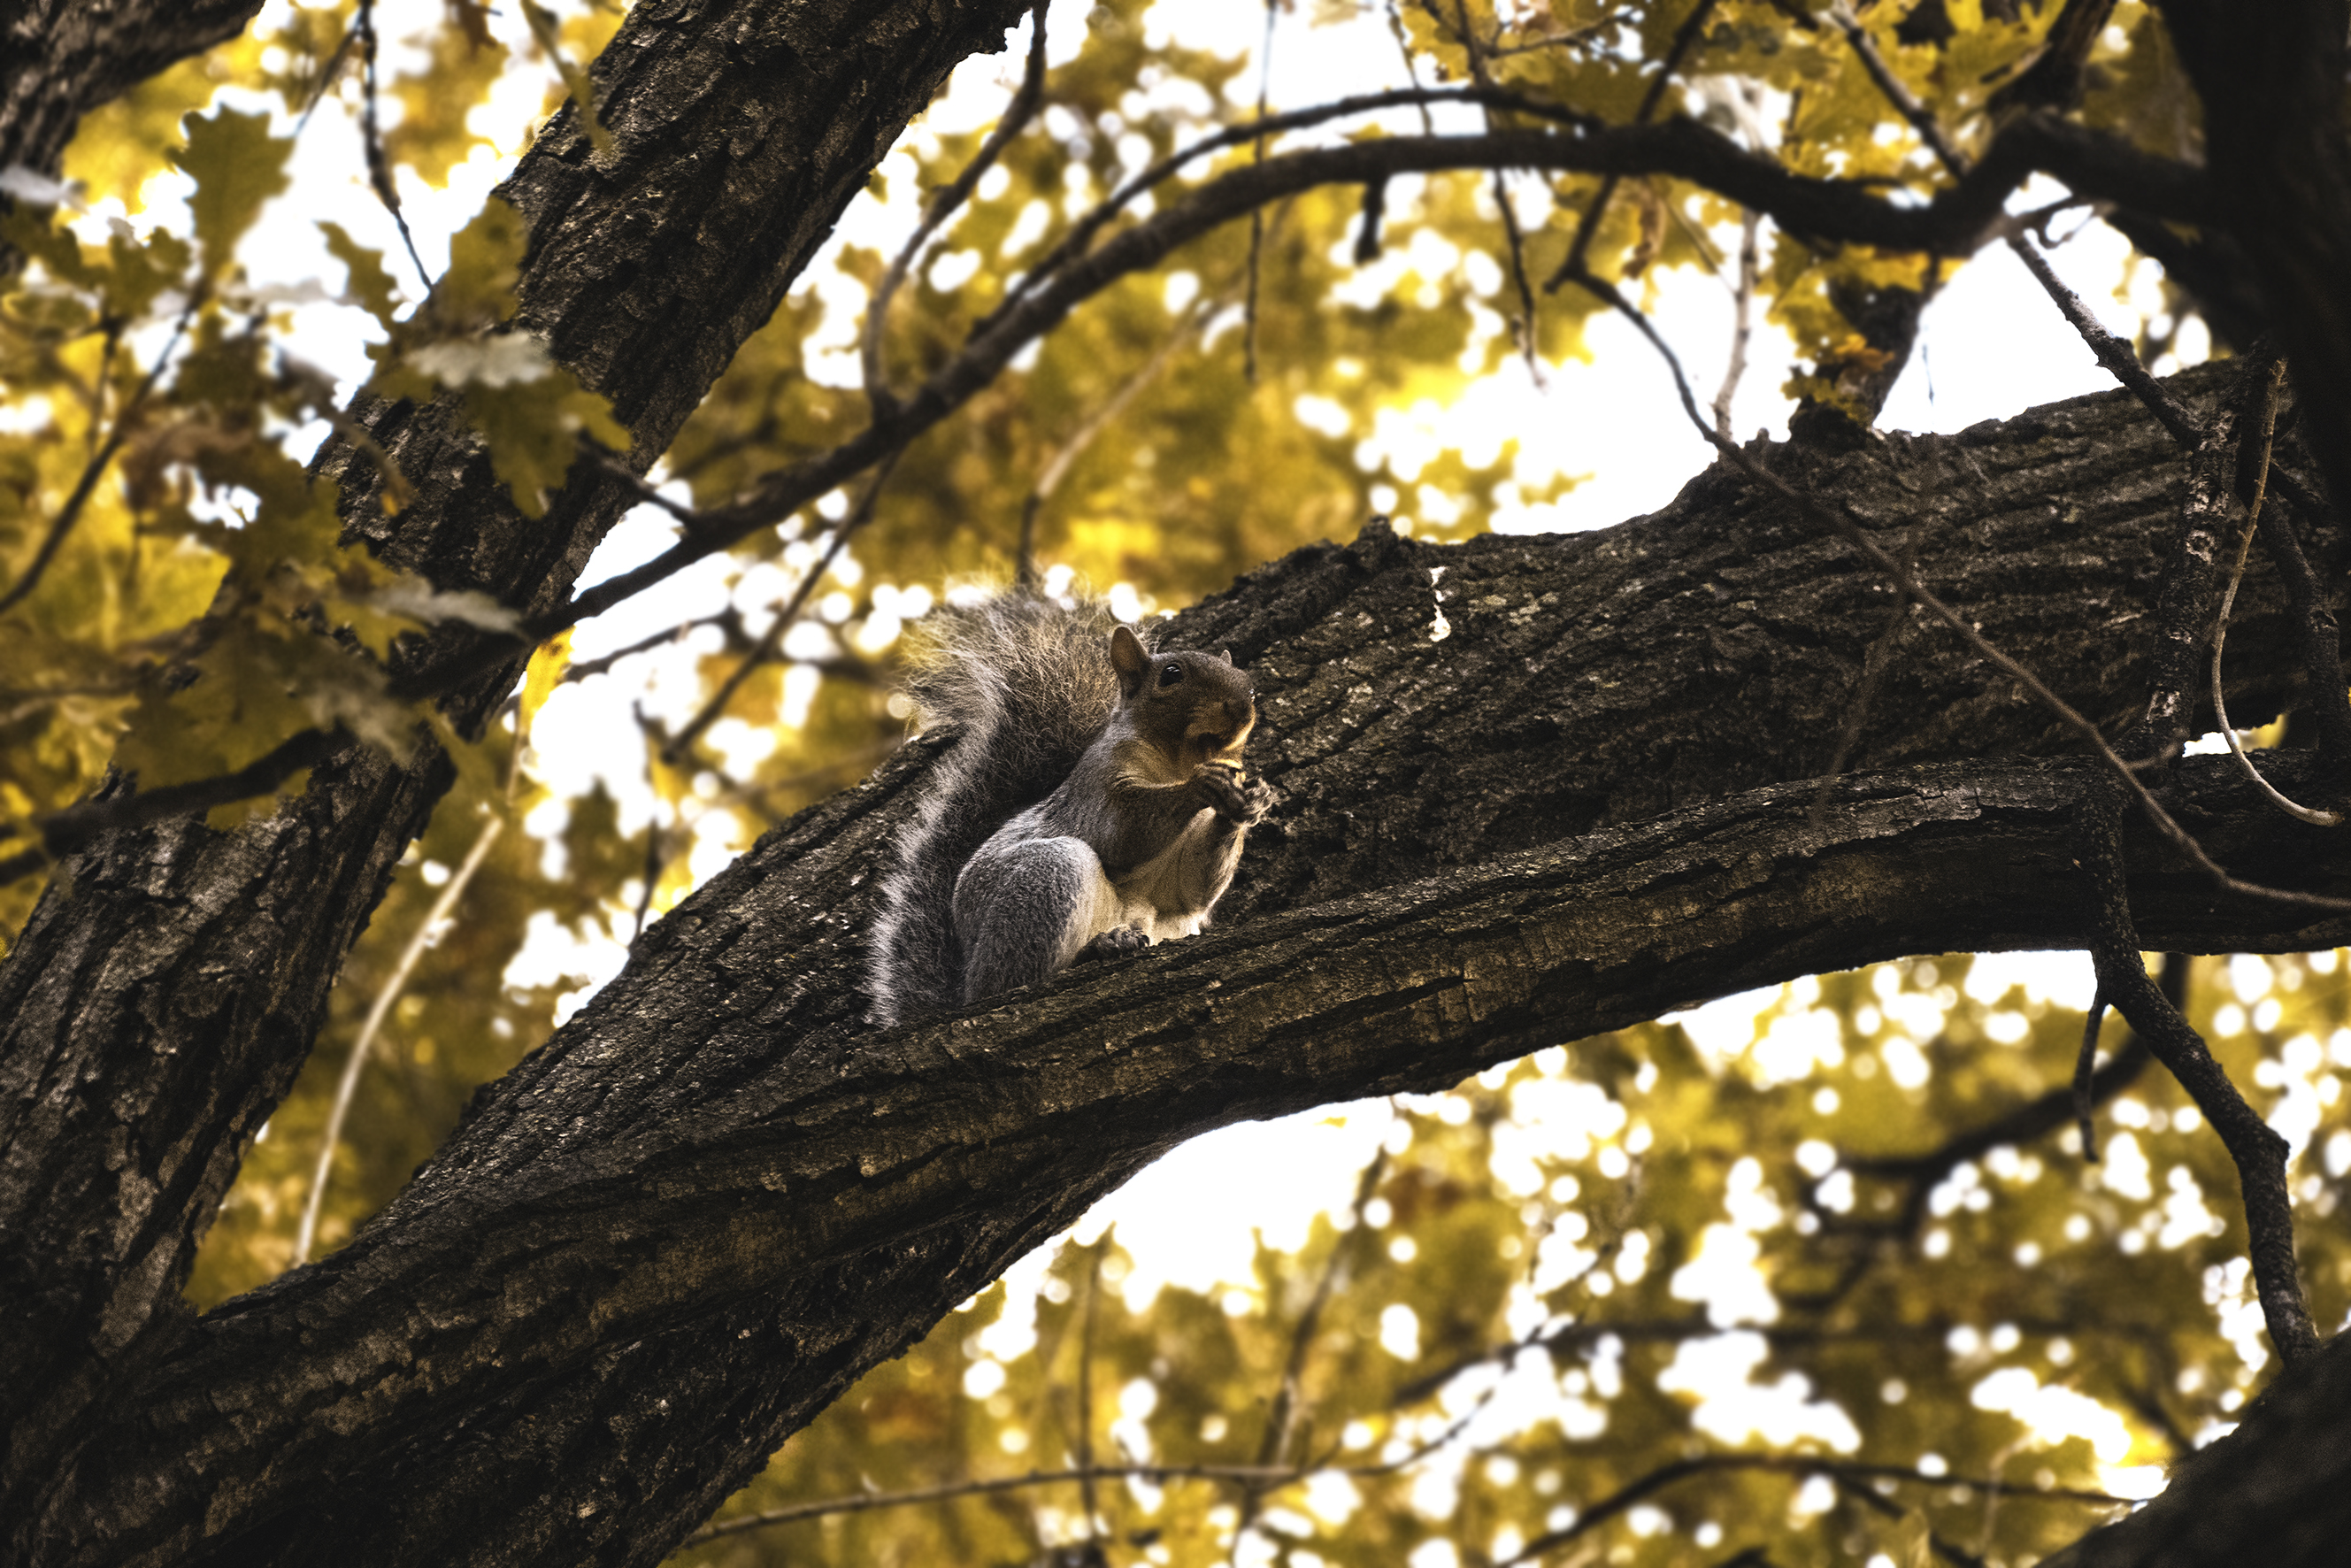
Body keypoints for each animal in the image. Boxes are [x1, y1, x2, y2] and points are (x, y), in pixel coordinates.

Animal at [870, 592, 1279, 1029]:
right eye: (1171, 675)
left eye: (1249, 687)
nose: (1244, 705)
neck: (1180, 760)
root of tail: (966, 985)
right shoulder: (1098, 786)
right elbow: (1124, 831)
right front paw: (1200, 785)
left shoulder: (1188, 878)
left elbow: (1194, 890)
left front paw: (1252, 800)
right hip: (1047, 877)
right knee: (1012, 980)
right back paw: (1098, 947)